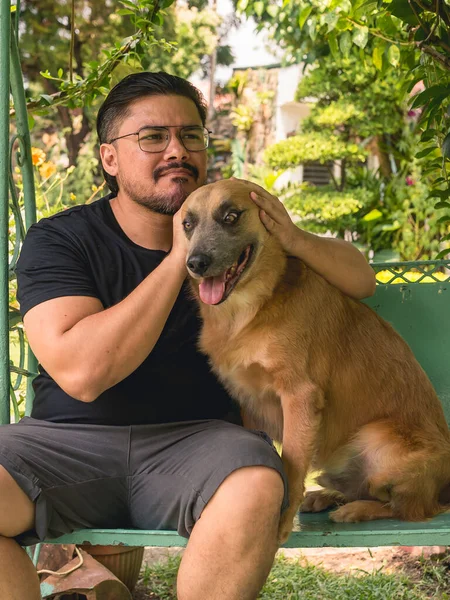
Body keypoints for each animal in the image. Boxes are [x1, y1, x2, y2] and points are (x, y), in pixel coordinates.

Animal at [181, 178, 450, 544]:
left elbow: (292, 466)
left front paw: (280, 523)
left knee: (406, 508)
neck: (248, 311)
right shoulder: (248, 403)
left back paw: (355, 510)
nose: (195, 263)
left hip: (378, 441)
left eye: (231, 216)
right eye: (187, 224)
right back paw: (329, 496)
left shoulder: (300, 397)